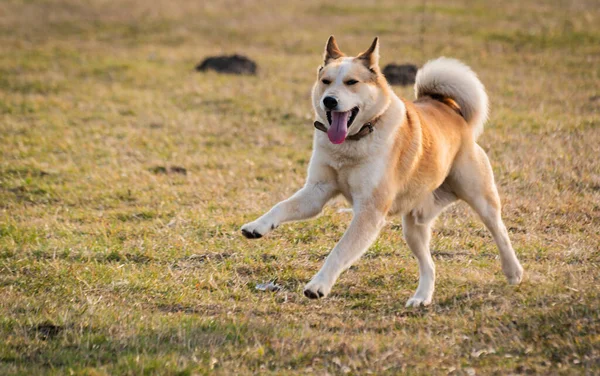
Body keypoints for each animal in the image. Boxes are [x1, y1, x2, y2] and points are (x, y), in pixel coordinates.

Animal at [241, 35, 524, 306]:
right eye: (326, 81)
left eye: (352, 82)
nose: (329, 100)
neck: (353, 143)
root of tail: (447, 107)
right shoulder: (316, 192)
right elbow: (281, 206)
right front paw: (257, 226)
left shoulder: (370, 211)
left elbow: (339, 251)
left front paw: (318, 285)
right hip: (414, 226)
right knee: (429, 265)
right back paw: (421, 297)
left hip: (479, 196)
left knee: (499, 231)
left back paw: (513, 271)